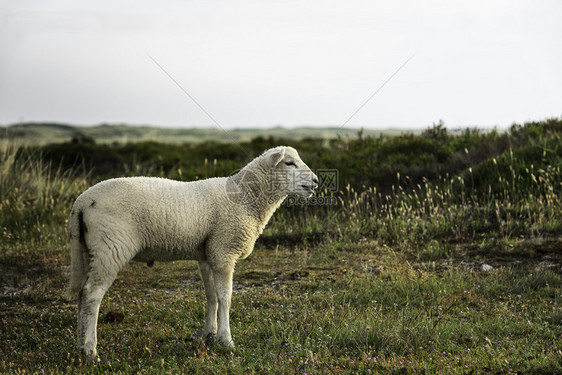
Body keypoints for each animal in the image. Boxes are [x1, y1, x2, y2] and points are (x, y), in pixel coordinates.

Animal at [66, 146, 316, 362]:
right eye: (289, 163)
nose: (315, 181)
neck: (245, 198)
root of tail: (82, 201)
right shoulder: (224, 251)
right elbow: (225, 297)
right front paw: (227, 340)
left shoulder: (208, 253)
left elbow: (211, 295)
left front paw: (209, 334)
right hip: (110, 247)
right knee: (92, 294)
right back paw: (91, 351)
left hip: (89, 250)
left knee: (82, 295)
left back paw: (80, 347)